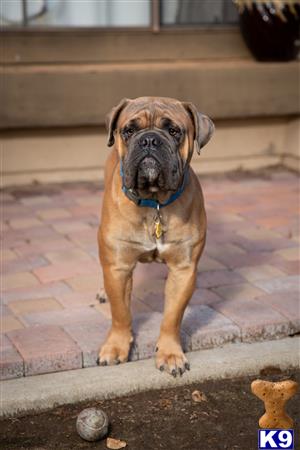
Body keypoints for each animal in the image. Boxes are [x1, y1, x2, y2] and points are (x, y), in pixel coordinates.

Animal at [98, 97, 213, 376]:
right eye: (129, 130)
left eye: (174, 131)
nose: (149, 140)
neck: (155, 203)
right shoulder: (118, 267)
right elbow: (120, 313)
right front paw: (116, 347)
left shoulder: (183, 271)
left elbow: (172, 316)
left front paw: (171, 354)